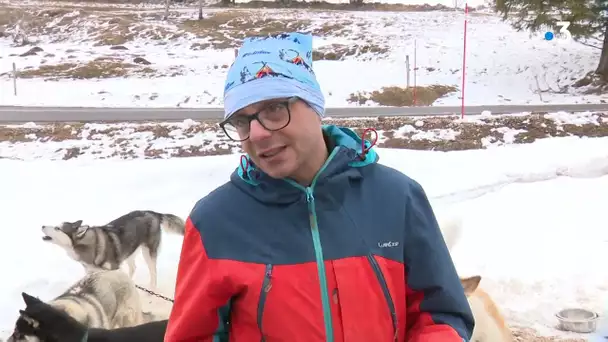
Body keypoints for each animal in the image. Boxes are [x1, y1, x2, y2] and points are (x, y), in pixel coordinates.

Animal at [41, 210, 184, 290]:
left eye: (57, 229)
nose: (42, 225)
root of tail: (153, 212)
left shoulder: (113, 268)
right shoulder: (93, 272)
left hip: (147, 253)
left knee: (153, 272)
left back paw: (151, 289)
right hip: (129, 250)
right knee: (133, 268)